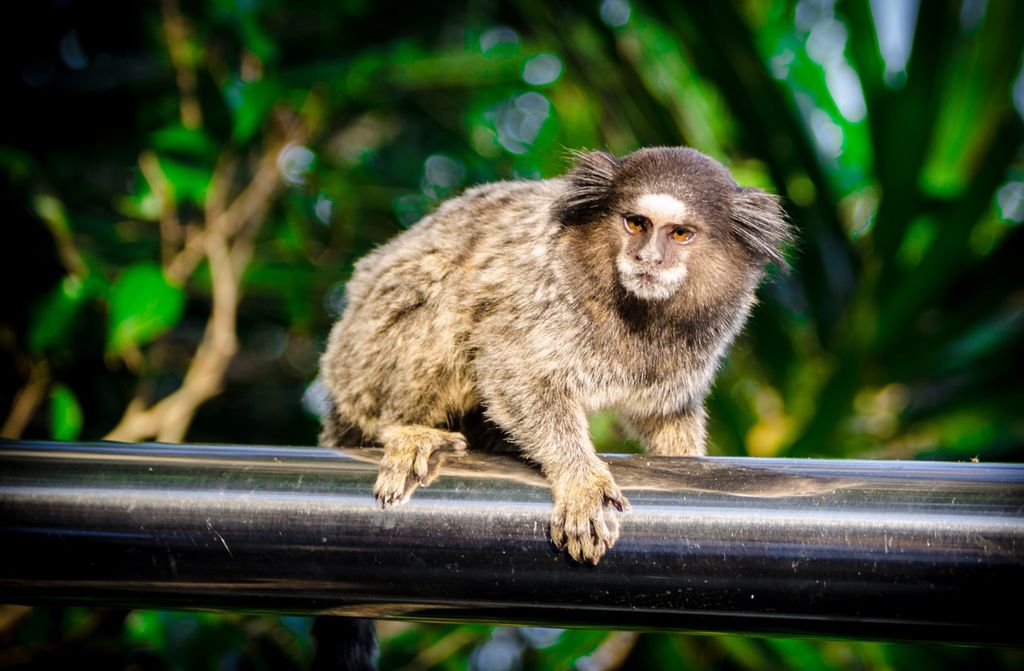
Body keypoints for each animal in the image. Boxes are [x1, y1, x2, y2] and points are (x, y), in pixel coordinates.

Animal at [319, 146, 792, 565]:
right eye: (635, 223)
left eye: (679, 233)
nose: (648, 258)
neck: (641, 314)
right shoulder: (543, 290)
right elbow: (515, 372)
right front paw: (581, 481)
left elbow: (663, 413)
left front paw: (682, 456)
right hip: (360, 363)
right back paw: (406, 429)